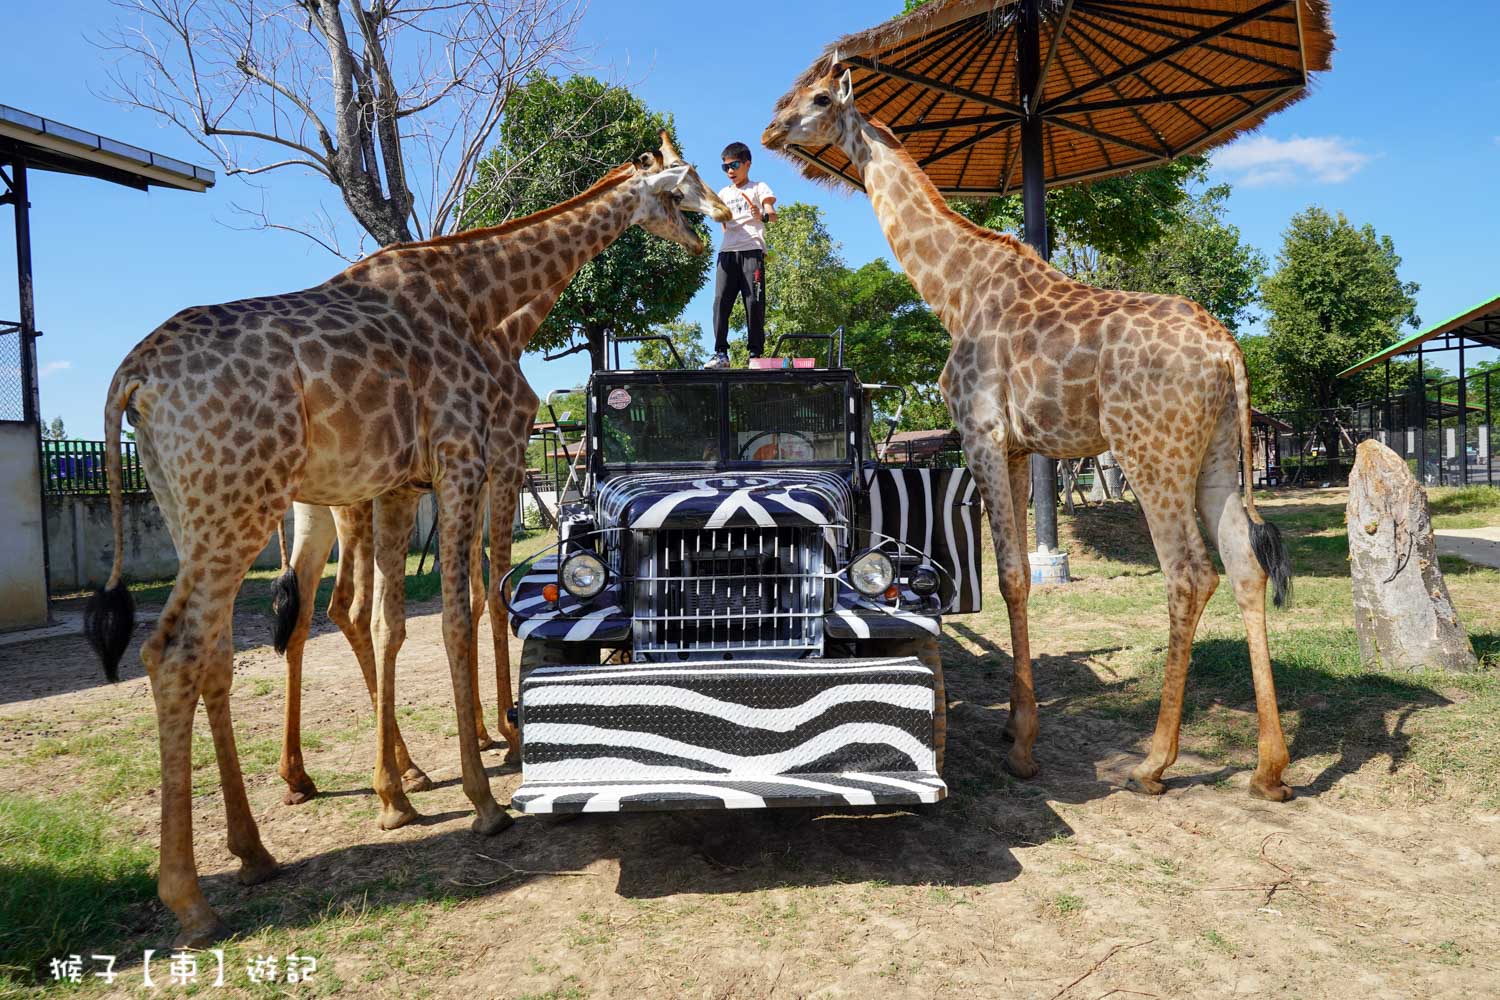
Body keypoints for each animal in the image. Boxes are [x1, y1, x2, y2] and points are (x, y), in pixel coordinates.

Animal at [274, 134, 732, 803]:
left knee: (308, 613)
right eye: (686, 178)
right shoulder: (503, 458)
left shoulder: (462, 474)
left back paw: (310, 776)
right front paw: (507, 735)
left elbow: (469, 595)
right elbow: (489, 595)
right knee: (343, 611)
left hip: (313, 515)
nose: (721, 217)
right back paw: (396, 775)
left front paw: (489, 731)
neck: (501, 321)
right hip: (349, 504)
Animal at [768, 62, 1296, 803]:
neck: (952, 290)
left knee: (1190, 574)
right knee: (1246, 565)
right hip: (1219, 454)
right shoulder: (1021, 447)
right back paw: (1269, 770)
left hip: (1149, 452)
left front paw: (1022, 747)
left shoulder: (983, 434)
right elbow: (1015, 579)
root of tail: (1228, 352)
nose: (768, 130)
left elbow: (1013, 576)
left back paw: (1154, 764)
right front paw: (1016, 729)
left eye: (817, 98)